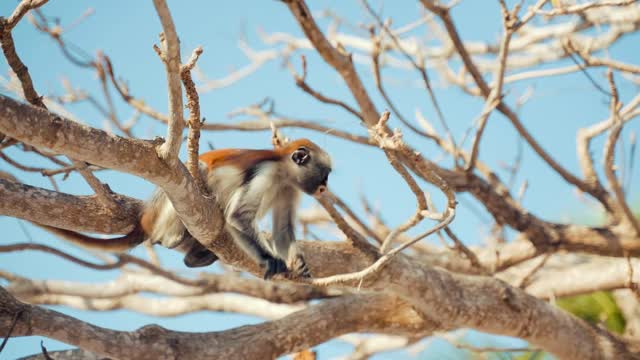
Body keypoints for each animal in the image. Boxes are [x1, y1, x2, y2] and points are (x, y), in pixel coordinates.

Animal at [41, 139, 330, 280]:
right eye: (324, 174)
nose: (324, 188)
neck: (283, 171)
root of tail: (147, 219)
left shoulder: (290, 187)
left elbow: (282, 230)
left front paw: (299, 264)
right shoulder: (267, 171)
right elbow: (238, 216)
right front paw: (271, 260)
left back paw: (196, 256)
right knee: (198, 172)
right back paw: (173, 237)